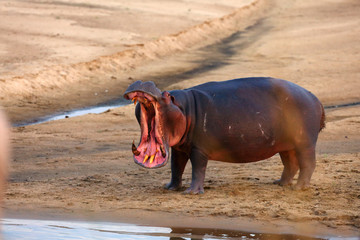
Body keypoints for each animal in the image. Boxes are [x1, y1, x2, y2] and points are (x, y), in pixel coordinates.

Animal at [124, 78, 326, 194]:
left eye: (166, 94)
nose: (143, 81)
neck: (185, 107)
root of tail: (315, 98)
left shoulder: (199, 149)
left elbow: (198, 169)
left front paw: (191, 192)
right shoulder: (179, 148)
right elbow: (176, 167)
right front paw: (170, 188)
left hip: (305, 143)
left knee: (308, 164)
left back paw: (299, 188)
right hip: (285, 144)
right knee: (290, 164)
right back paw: (280, 184)